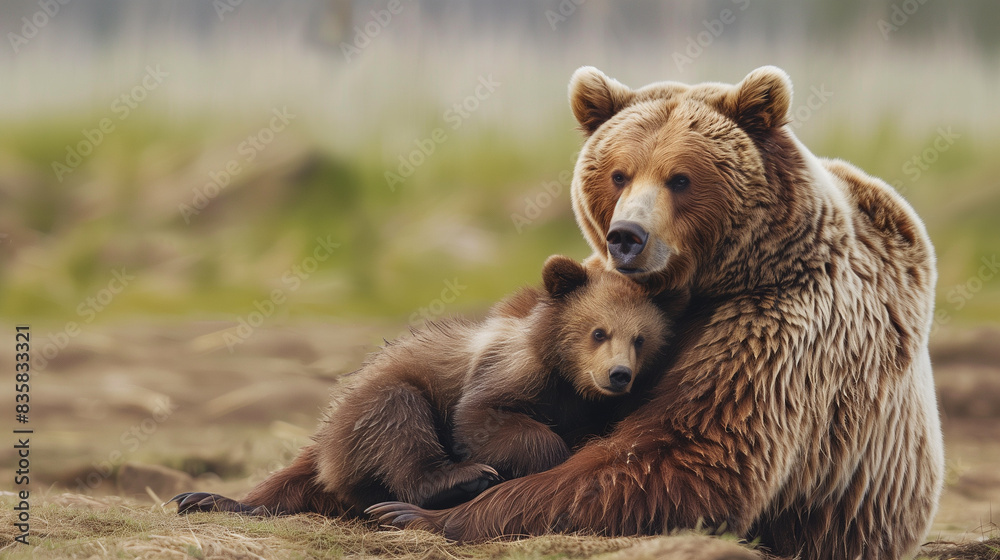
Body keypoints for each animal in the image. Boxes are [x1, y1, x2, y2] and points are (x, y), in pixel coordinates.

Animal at [171, 255, 671, 517]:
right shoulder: (505, 371)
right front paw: (536, 457)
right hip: (367, 411)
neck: (568, 379)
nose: (618, 374)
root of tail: (325, 437)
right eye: (598, 332)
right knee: (398, 419)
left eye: (641, 338)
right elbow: (481, 418)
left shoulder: (595, 405)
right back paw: (459, 480)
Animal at [368, 65, 944, 560]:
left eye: (681, 178)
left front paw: (420, 514)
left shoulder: (777, 328)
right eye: (619, 174)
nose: (627, 236)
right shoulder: (597, 285)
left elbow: (682, 453)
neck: (711, 283)